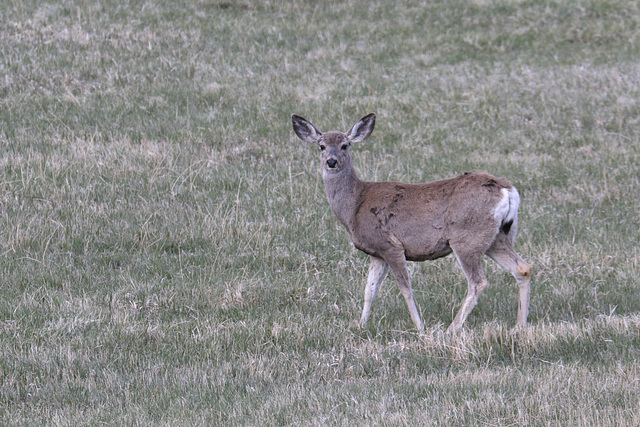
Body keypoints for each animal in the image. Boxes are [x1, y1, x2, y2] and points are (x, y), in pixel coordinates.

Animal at [292, 113, 532, 334]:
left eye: (345, 145)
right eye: (321, 146)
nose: (331, 161)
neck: (356, 204)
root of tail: (507, 190)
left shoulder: (391, 245)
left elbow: (405, 289)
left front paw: (420, 327)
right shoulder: (376, 252)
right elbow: (369, 290)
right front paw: (361, 324)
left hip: (467, 238)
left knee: (478, 282)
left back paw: (451, 329)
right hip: (498, 237)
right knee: (522, 268)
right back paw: (519, 327)